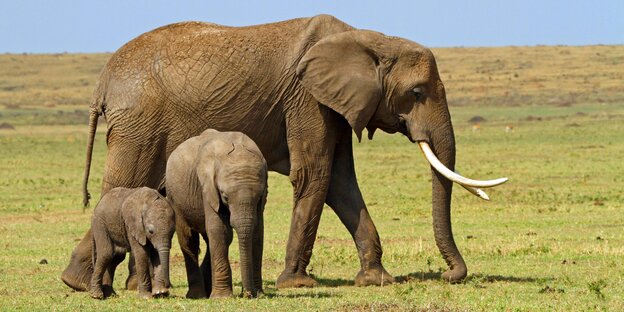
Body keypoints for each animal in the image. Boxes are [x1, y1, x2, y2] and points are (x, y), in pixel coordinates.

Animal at [168, 130, 268, 300]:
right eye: (225, 196)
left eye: (259, 196)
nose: (247, 294)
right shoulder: (207, 187)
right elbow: (219, 230)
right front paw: (223, 297)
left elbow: (257, 233)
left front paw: (259, 295)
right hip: (175, 199)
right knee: (189, 240)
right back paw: (197, 295)